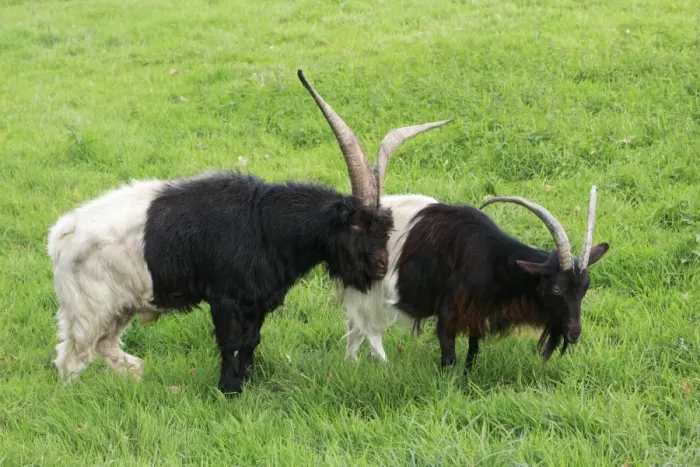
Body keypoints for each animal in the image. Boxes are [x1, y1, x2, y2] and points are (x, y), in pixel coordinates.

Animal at [46, 68, 460, 395]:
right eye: (357, 224)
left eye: (387, 226)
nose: (379, 267)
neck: (266, 224)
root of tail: (60, 236)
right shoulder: (226, 300)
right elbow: (231, 344)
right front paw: (229, 392)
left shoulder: (256, 303)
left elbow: (250, 343)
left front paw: (245, 383)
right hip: (87, 311)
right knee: (71, 359)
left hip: (118, 308)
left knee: (104, 346)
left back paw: (134, 373)